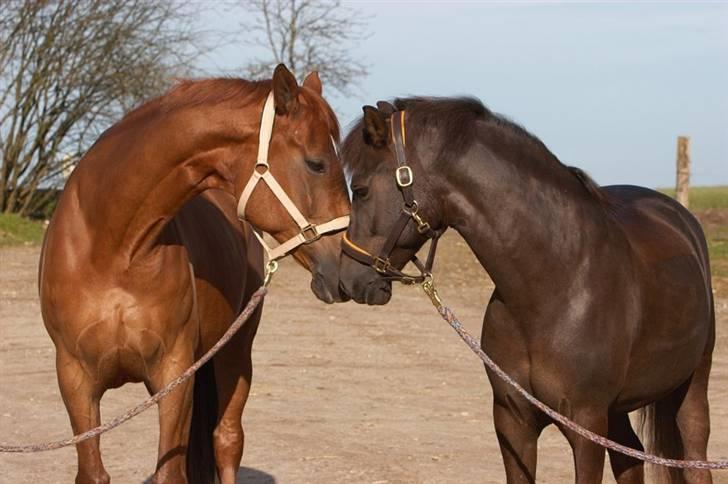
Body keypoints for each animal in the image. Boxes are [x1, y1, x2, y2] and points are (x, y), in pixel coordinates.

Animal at [38, 65, 352, 484]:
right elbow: (92, 473)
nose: (349, 266)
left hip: (234, 353)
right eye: (316, 163)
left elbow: (171, 472)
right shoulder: (75, 380)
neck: (112, 249)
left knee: (227, 440)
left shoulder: (174, 374)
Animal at [338, 96, 712, 482]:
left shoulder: (586, 427)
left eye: (361, 190)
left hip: (691, 387)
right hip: (617, 410)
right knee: (631, 457)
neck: (555, 285)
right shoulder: (512, 420)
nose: (347, 278)